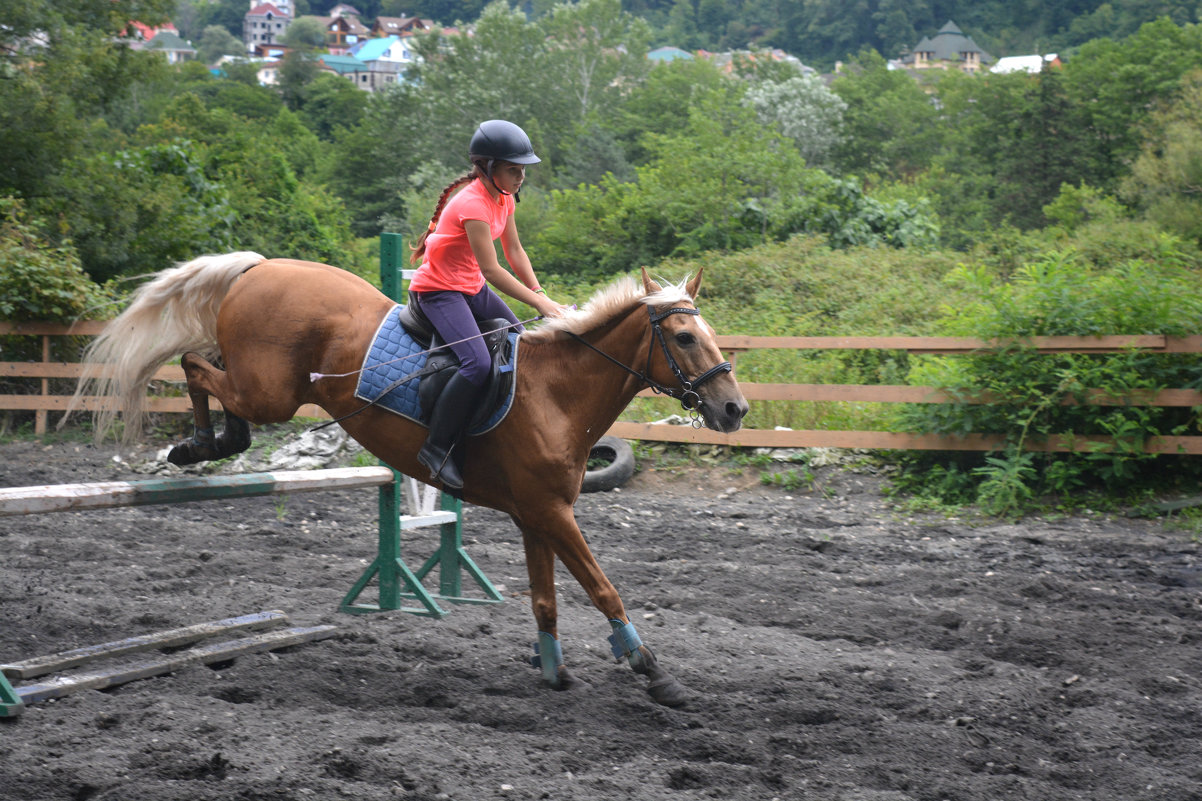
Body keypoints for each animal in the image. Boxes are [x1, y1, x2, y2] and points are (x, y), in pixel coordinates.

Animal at [75, 252, 745, 702]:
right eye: (684, 337)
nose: (734, 410)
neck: (556, 392)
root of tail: (261, 267)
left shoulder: (536, 516)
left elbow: (546, 600)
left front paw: (555, 671)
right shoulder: (553, 514)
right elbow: (603, 588)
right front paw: (652, 670)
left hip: (261, 385)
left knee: (206, 366)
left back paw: (215, 440)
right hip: (269, 391)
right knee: (195, 364)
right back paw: (199, 444)